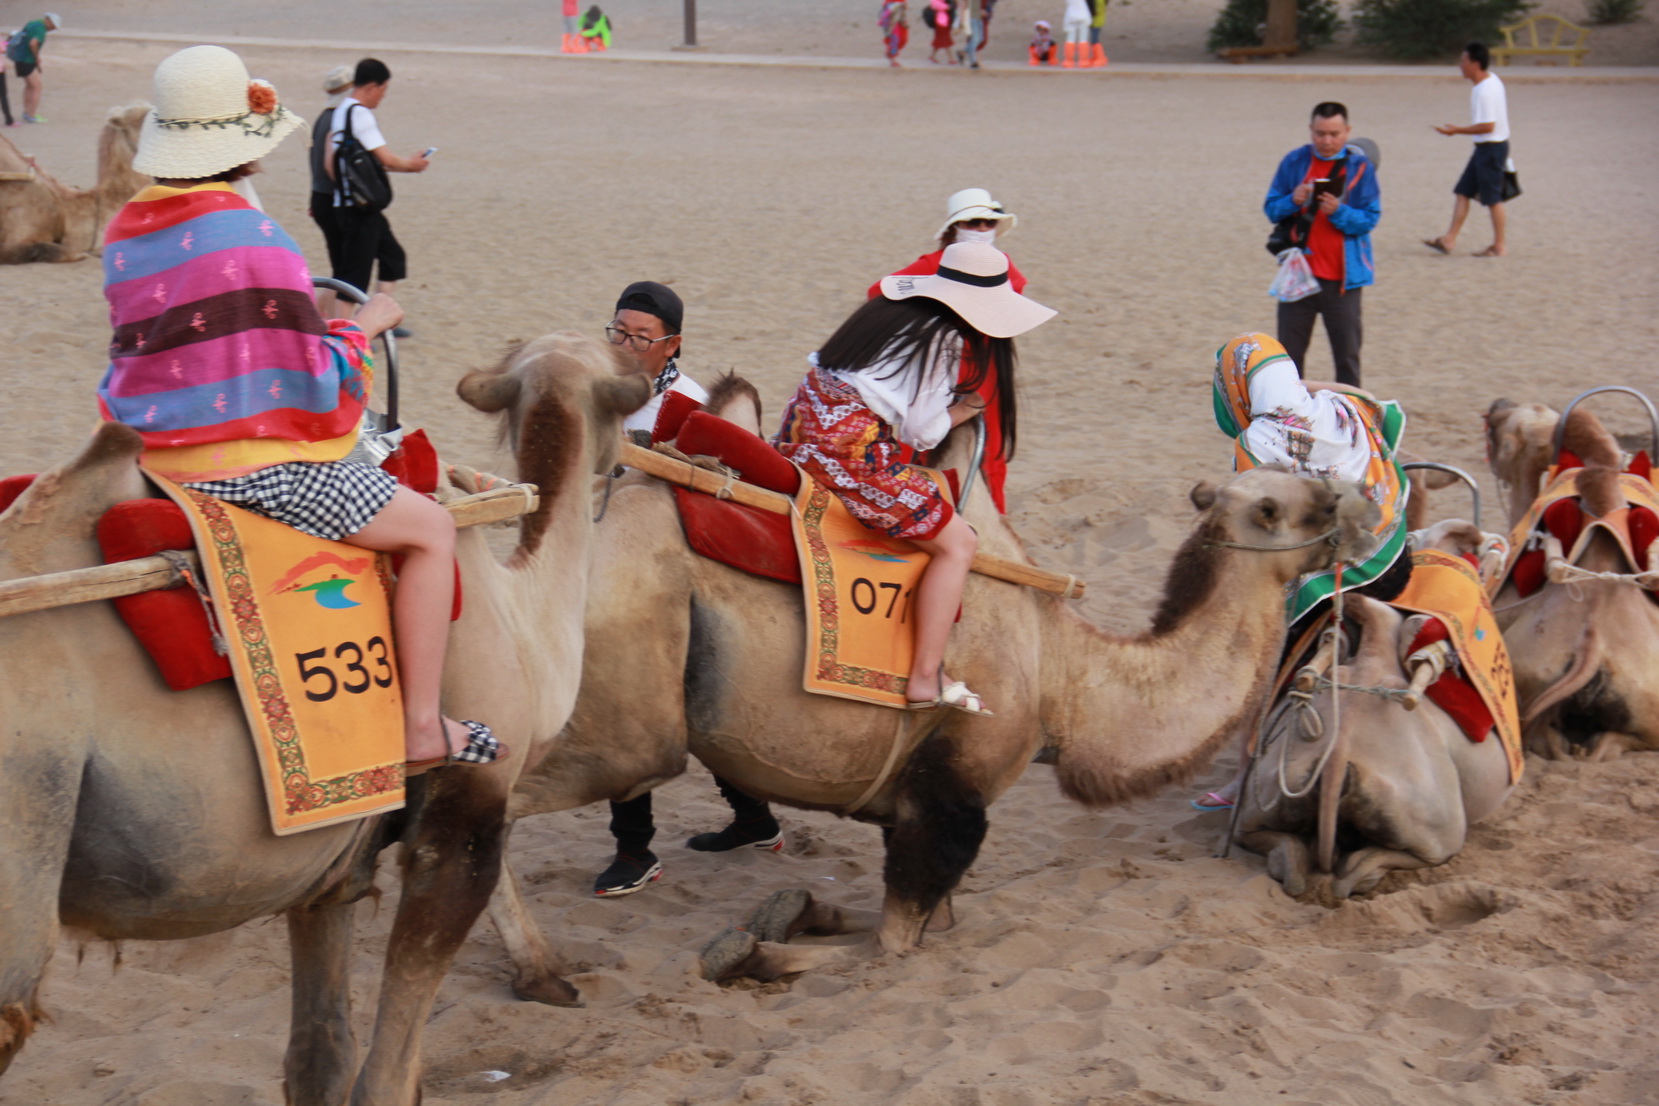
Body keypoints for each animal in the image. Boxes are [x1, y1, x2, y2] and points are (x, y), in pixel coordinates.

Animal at [484, 404, 1380, 988]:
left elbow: (921, 922)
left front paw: (790, 912)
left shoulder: (914, 799)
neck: (1064, 677)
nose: (1360, 504)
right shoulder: (952, 796)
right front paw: (748, 950)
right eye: (1273, 505)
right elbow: (893, 946)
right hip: (628, 728)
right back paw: (540, 974)